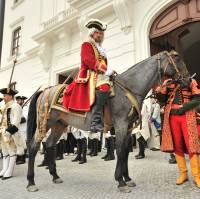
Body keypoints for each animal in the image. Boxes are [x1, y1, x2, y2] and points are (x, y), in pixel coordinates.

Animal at [26, 51, 189, 193]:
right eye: (177, 58)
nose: (188, 79)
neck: (129, 88)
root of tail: (45, 91)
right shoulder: (121, 125)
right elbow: (121, 151)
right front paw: (121, 181)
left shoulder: (128, 128)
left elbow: (125, 151)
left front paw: (127, 178)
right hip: (45, 122)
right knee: (34, 146)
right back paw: (31, 182)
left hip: (59, 124)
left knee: (49, 145)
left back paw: (55, 175)